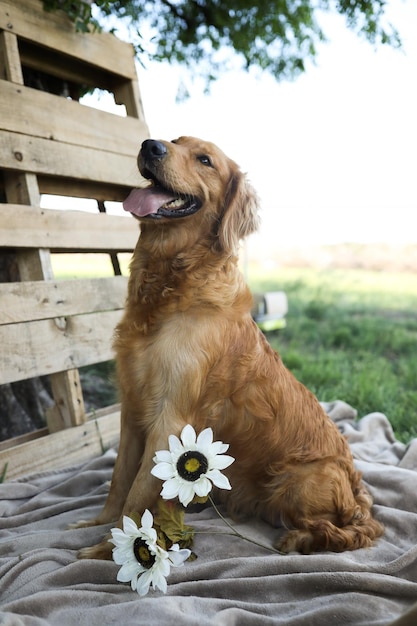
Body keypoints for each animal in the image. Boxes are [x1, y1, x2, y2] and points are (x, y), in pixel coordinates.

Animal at [76, 135, 382, 556]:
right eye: (174, 140)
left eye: (205, 160)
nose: (151, 145)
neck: (174, 283)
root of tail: (357, 489)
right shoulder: (131, 407)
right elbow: (119, 479)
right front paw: (98, 523)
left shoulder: (170, 418)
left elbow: (136, 496)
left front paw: (111, 548)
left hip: (300, 479)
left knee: (339, 529)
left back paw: (297, 538)